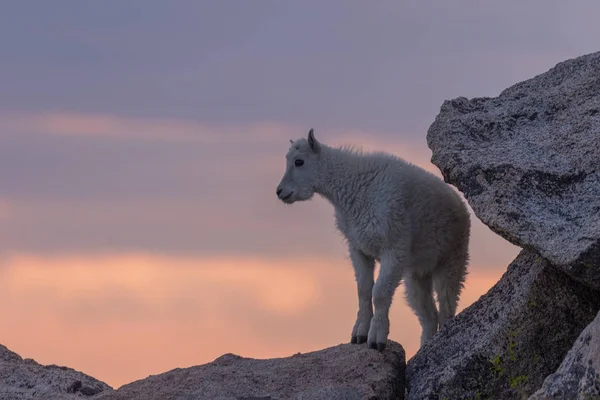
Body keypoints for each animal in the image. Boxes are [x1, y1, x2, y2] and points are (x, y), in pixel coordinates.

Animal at [276, 129, 468, 350]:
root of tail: (461, 204)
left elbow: (380, 293)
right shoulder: (358, 248)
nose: (280, 192)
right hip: (417, 274)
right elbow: (364, 290)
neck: (353, 188)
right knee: (428, 316)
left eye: (299, 161)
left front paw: (377, 339)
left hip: (453, 257)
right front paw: (358, 335)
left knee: (447, 305)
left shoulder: (393, 246)